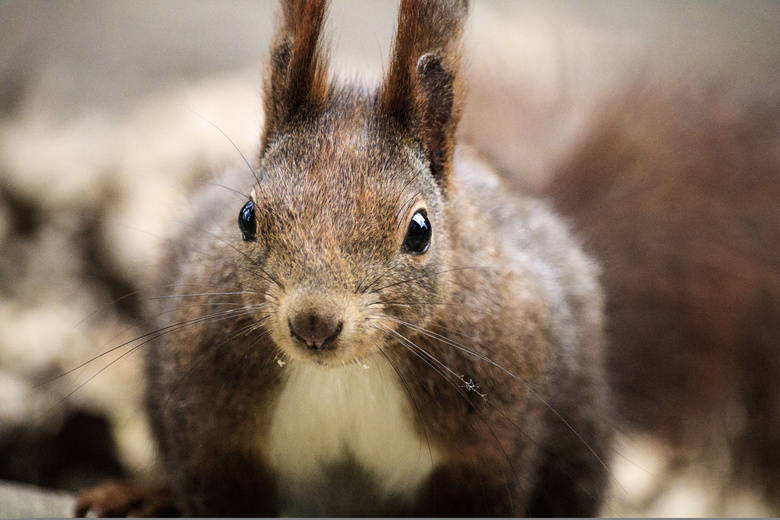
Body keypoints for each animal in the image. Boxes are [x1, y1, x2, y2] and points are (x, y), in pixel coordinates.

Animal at [74, 0, 608, 516]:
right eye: (247, 216)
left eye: (420, 231)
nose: (314, 323)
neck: (349, 372)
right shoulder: (213, 432)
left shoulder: (486, 447)